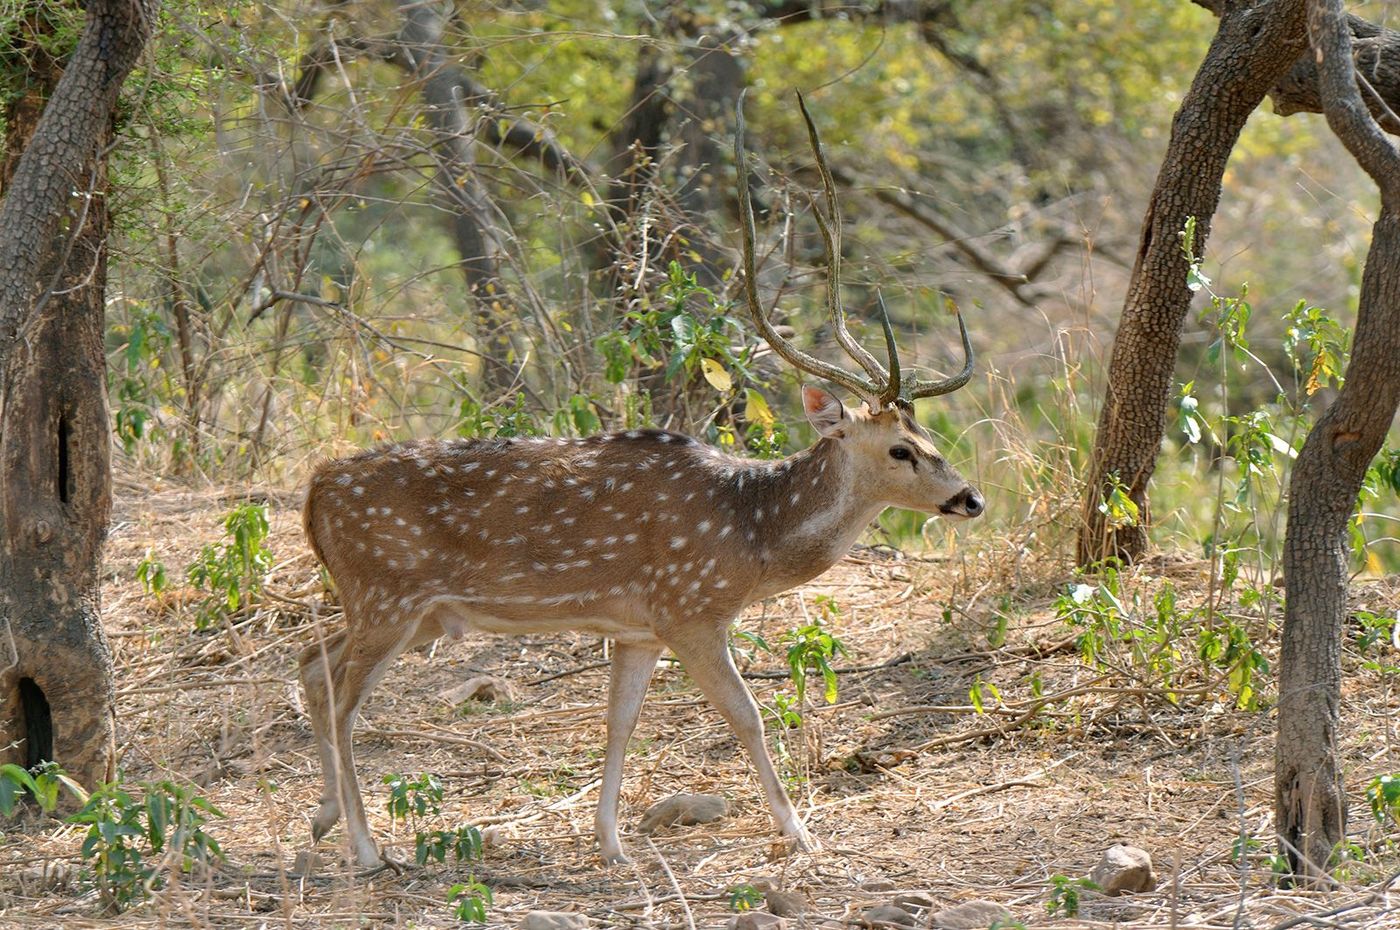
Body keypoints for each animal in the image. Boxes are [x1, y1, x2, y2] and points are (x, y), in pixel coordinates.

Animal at [298, 92, 984, 870]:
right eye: (901, 449)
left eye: (930, 438)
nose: (970, 497)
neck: (751, 534)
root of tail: (314, 492)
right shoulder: (690, 608)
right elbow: (745, 715)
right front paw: (801, 831)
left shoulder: (637, 628)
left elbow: (620, 723)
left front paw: (612, 844)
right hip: (387, 595)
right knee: (343, 697)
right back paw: (363, 847)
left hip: (409, 611)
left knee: (311, 662)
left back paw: (324, 819)